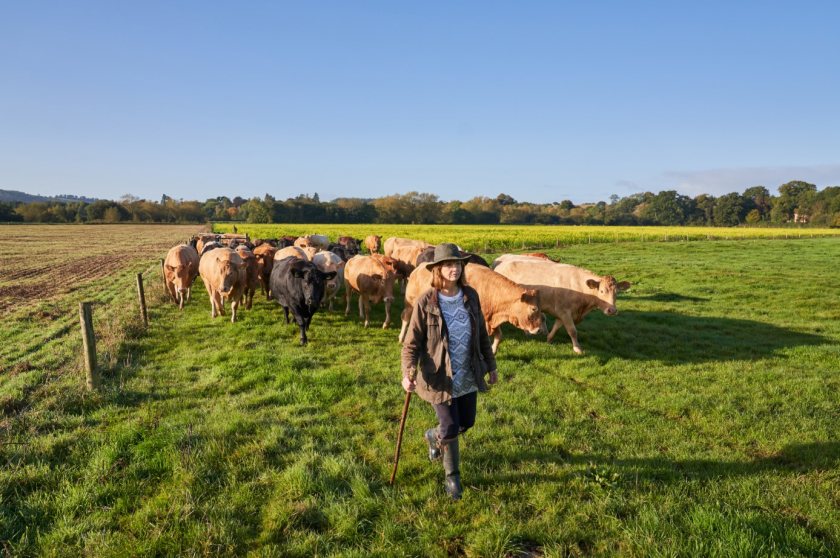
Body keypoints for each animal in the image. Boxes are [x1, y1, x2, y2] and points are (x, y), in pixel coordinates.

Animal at [400, 264, 544, 354]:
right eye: (533, 308)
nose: (538, 330)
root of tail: (417, 268)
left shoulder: (491, 320)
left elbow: (499, 336)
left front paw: (493, 351)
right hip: (410, 303)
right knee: (406, 319)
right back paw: (401, 337)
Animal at [492, 260, 632, 354]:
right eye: (602, 291)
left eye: (617, 292)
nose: (612, 310)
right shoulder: (565, 311)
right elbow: (572, 331)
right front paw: (577, 348)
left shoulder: (561, 313)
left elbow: (556, 326)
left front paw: (549, 339)